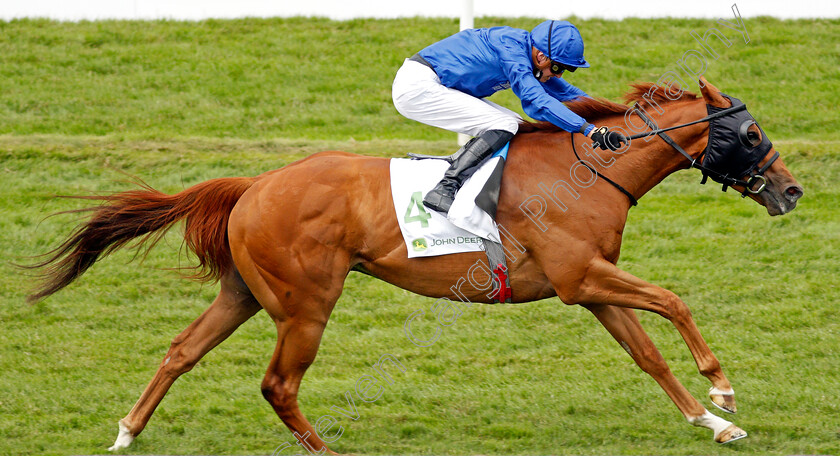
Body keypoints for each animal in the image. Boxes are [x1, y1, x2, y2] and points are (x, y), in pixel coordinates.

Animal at [27, 79, 800, 452]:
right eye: (753, 131)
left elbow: (649, 355)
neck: (589, 168)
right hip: (306, 304)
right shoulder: (582, 277)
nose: (791, 191)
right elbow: (673, 300)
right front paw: (724, 390)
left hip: (244, 292)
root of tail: (254, 184)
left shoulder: (586, 285)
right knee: (278, 385)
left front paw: (713, 423)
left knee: (181, 351)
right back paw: (326, 453)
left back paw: (127, 433)